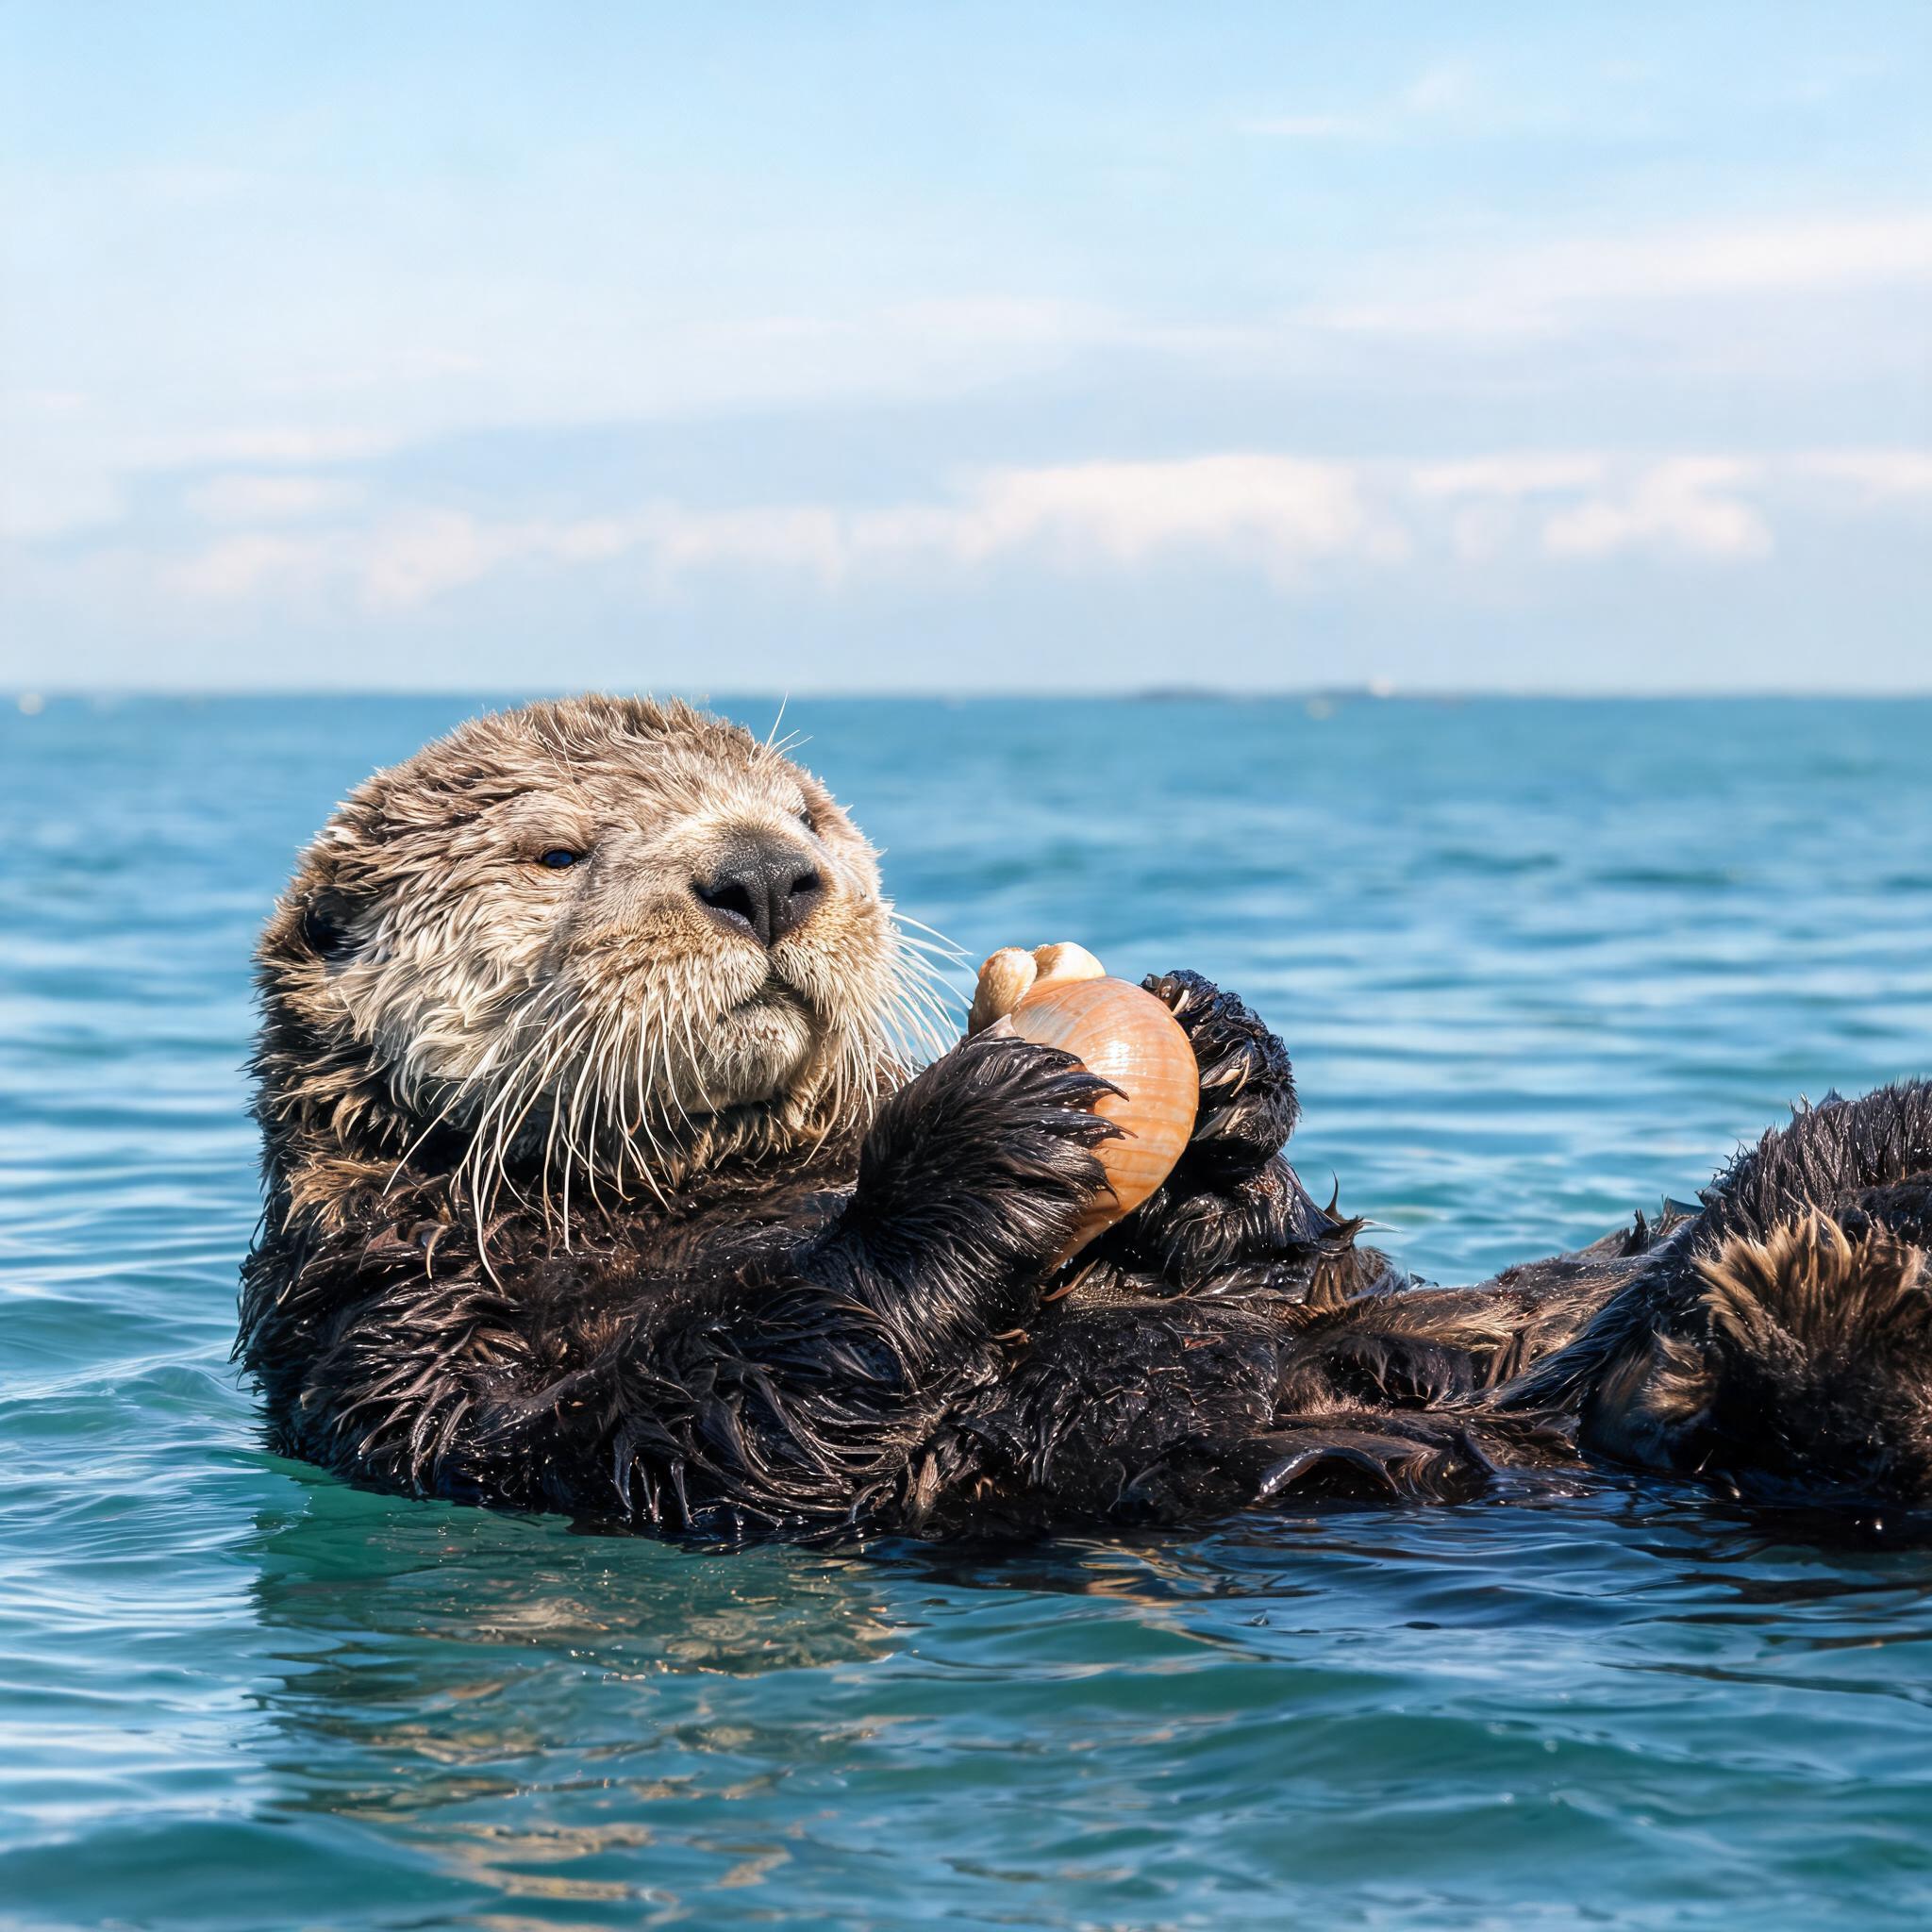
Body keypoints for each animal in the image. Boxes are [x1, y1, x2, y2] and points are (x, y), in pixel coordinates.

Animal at [238, 697, 1932, 1540]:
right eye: (556, 851)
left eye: (810, 816)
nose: (769, 873)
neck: (698, 1187)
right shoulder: (409, 1360)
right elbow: (712, 1424)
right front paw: (973, 1132)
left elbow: (1276, 1267)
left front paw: (1226, 1064)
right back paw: (1831, 1306)